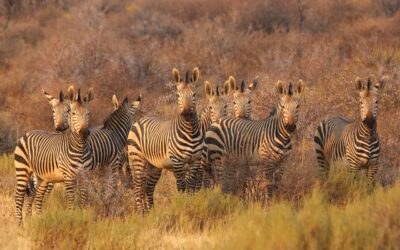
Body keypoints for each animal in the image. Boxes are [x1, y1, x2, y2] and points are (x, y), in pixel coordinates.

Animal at [13, 87, 94, 225]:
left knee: (37, 198)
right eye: (73, 113)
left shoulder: (85, 176)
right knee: (19, 197)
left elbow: (84, 200)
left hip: (42, 178)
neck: (80, 148)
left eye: (88, 113)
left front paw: (83, 219)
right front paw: (71, 219)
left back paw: (36, 222)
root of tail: (28, 132)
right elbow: (71, 201)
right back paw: (20, 225)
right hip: (22, 170)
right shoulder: (68, 177)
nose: (84, 132)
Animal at [127, 67, 203, 213]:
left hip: (154, 165)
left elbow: (191, 187)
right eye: (178, 96)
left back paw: (150, 212)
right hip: (137, 159)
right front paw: (182, 207)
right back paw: (141, 213)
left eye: (194, 95)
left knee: (148, 187)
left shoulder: (195, 161)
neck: (190, 132)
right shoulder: (178, 162)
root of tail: (139, 120)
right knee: (138, 187)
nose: (186, 114)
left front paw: (191, 204)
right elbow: (181, 187)